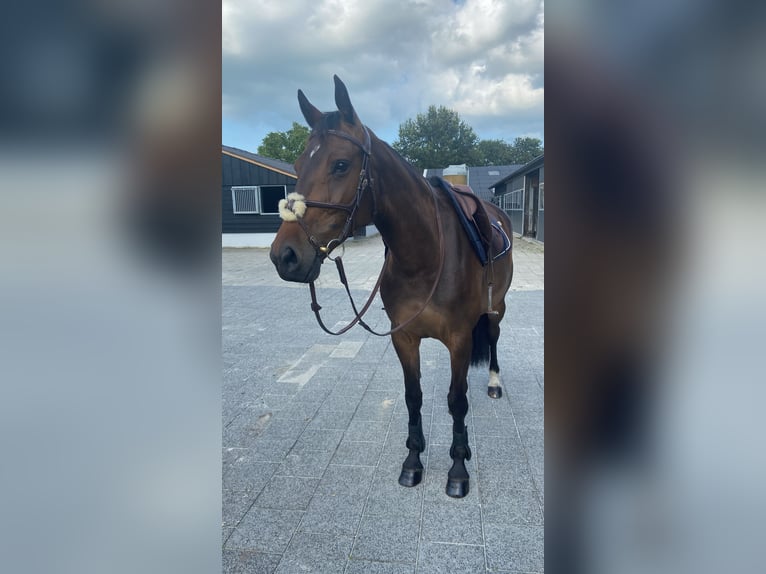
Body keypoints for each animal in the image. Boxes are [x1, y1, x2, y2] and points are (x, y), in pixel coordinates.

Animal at [272, 77, 516, 500]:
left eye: (341, 164)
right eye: (299, 166)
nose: (284, 256)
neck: (426, 256)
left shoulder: (458, 338)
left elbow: (456, 401)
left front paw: (458, 468)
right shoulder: (404, 338)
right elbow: (413, 397)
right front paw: (413, 462)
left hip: (496, 308)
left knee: (494, 339)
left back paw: (494, 383)